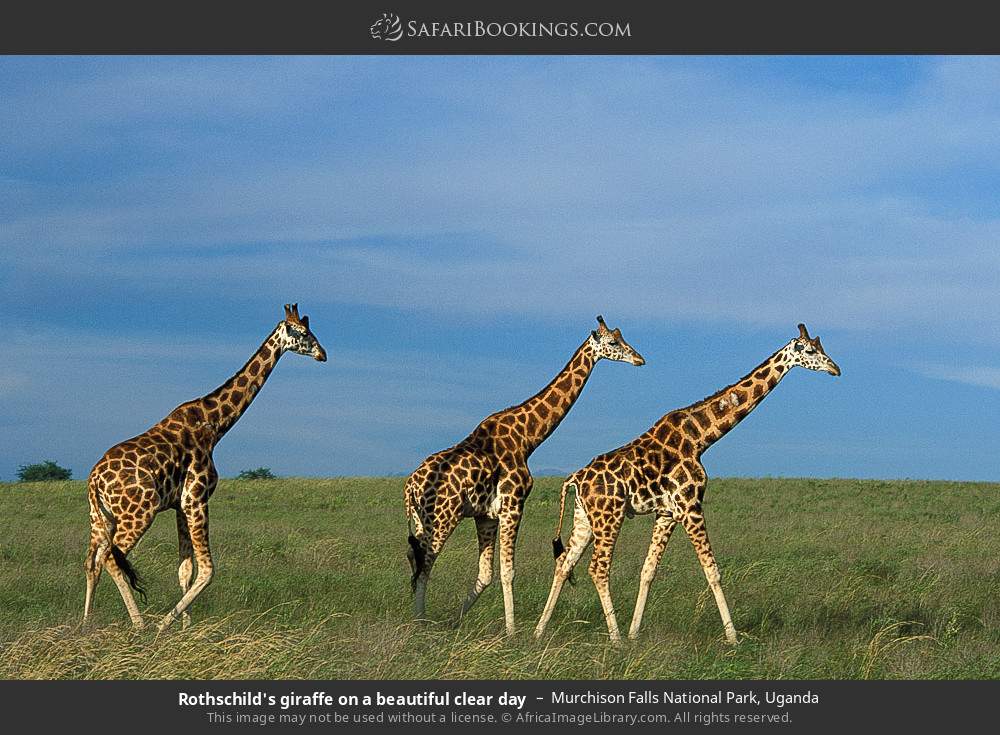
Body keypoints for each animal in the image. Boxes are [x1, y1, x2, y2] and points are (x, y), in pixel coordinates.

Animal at [82, 304, 327, 632]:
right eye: (304, 333)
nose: (323, 354)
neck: (215, 425)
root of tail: (94, 480)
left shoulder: (179, 505)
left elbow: (185, 569)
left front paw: (184, 629)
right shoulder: (196, 498)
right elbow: (207, 570)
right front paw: (165, 626)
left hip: (101, 518)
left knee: (92, 560)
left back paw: (85, 625)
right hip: (139, 513)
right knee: (111, 557)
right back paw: (140, 625)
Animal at [405, 316, 646, 634]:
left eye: (623, 338)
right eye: (613, 342)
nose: (640, 359)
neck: (528, 438)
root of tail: (410, 485)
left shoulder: (486, 515)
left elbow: (486, 574)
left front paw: (455, 622)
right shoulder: (514, 504)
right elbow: (508, 571)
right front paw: (512, 632)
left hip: (422, 520)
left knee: (415, 557)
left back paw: (417, 618)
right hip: (443, 517)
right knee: (426, 563)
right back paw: (419, 623)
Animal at [534, 323, 840, 644]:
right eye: (810, 351)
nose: (836, 368)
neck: (700, 438)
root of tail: (574, 479)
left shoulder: (667, 513)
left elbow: (648, 570)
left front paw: (635, 633)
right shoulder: (690, 505)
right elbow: (712, 570)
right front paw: (733, 637)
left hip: (584, 517)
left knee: (564, 562)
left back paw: (540, 631)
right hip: (609, 515)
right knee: (598, 568)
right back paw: (614, 638)